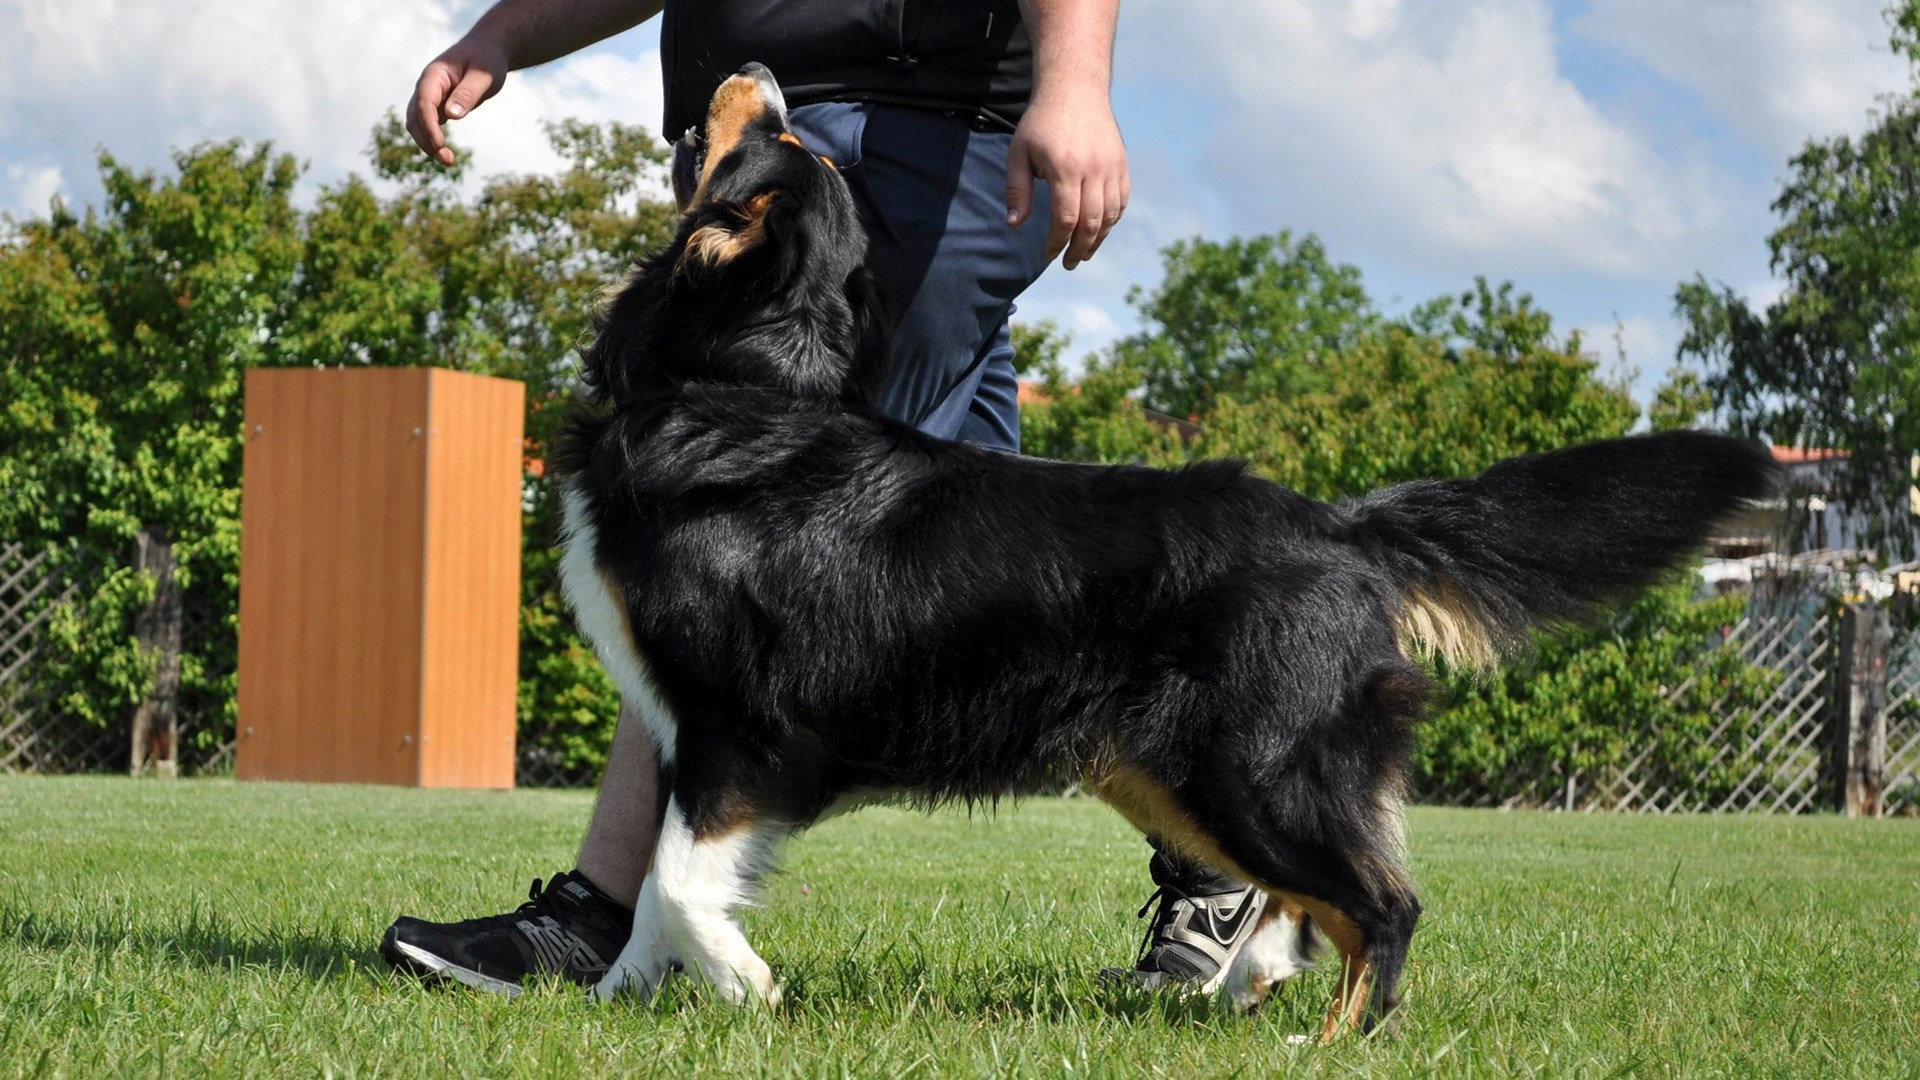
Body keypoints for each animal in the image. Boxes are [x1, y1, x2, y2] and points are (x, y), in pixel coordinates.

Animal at [560, 61, 1781, 1037]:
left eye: (783, 137)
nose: (760, 70)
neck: (738, 390)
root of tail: (1347, 525)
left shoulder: (741, 727)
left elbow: (680, 882)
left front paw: (747, 987)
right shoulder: (689, 733)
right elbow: (654, 897)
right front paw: (607, 1007)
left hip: (1252, 769)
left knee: (1383, 905)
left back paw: (1329, 1046)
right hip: (1170, 770)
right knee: (1315, 906)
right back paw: (1249, 989)